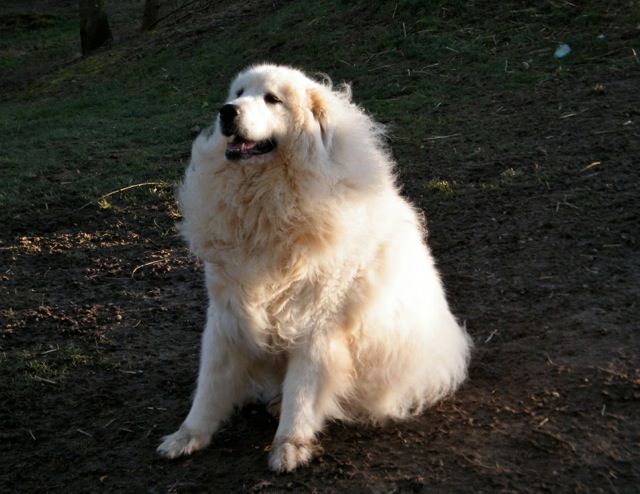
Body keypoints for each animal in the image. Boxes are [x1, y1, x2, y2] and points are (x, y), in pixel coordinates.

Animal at [158, 64, 472, 470]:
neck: (267, 201)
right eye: (239, 92)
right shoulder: (226, 315)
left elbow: (302, 393)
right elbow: (209, 385)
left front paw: (290, 444)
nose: (226, 112)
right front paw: (188, 435)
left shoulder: (316, 325)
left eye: (272, 99)